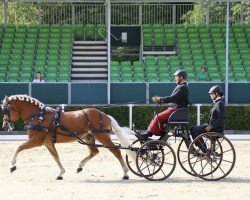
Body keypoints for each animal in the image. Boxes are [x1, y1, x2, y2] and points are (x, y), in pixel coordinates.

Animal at [0, 94, 137, 180]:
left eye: (5, 110)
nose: (5, 126)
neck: (38, 117)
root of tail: (104, 114)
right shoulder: (48, 143)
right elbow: (56, 156)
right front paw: (61, 173)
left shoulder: (37, 141)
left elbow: (19, 147)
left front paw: (12, 165)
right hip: (89, 137)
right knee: (94, 151)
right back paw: (80, 166)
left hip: (102, 136)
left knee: (116, 151)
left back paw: (125, 173)